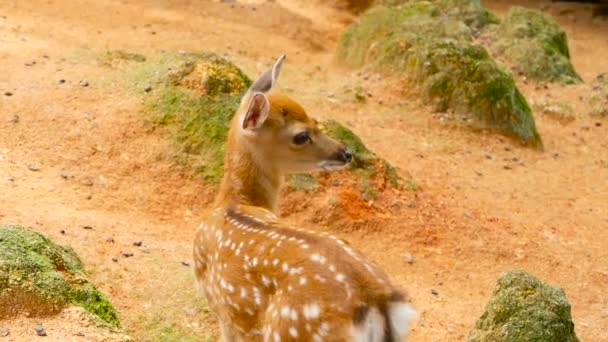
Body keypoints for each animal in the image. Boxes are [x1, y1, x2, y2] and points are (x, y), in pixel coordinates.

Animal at [192, 54, 416, 340]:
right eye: (301, 136)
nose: (346, 153)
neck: (233, 202)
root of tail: (377, 302)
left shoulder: (226, 315)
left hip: (292, 329)